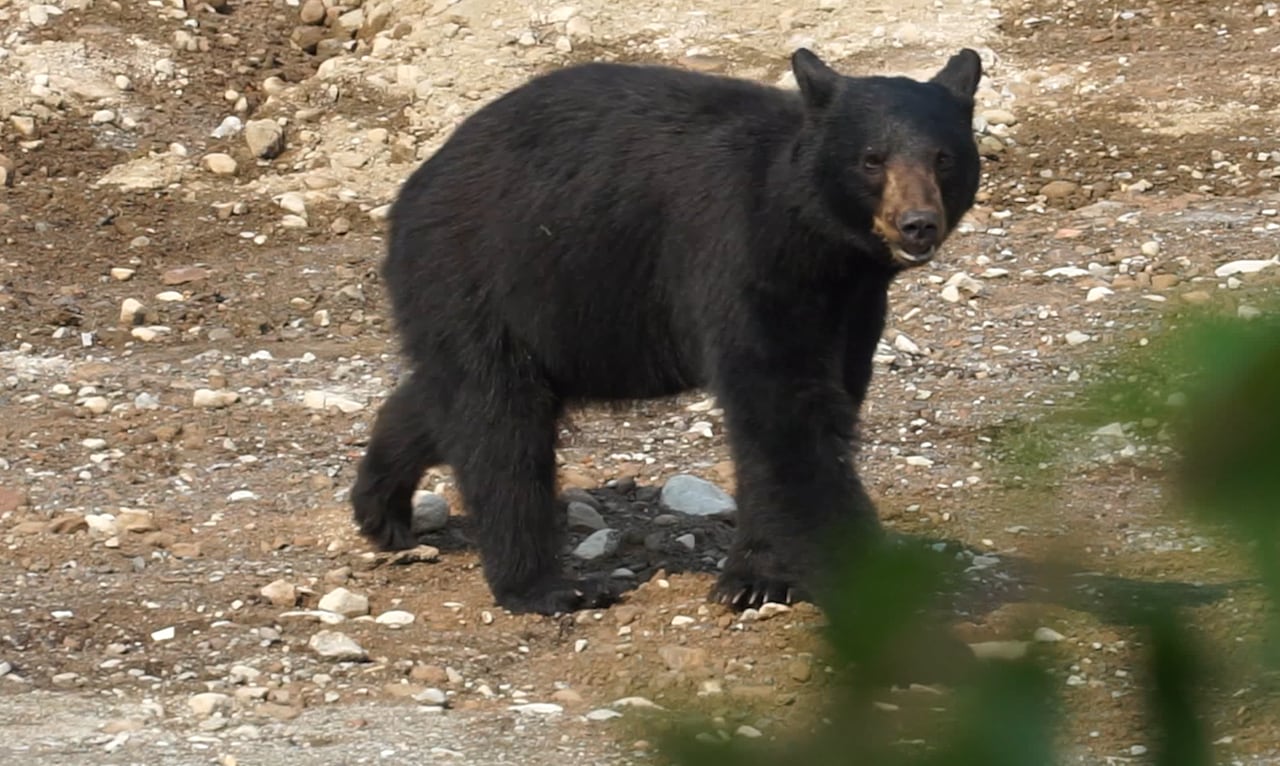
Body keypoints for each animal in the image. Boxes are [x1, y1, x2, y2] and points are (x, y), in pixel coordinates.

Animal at [350, 47, 984, 616]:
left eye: (944, 158)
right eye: (872, 159)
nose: (918, 224)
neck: (818, 243)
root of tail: (414, 187)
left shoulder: (852, 304)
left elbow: (822, 400)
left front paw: (758, 576)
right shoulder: (740, 256)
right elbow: (784, 412)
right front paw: (863, 575)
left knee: (450, 400)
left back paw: (381, 508)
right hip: (482, 270)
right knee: (498, 421)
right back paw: (544, 587)